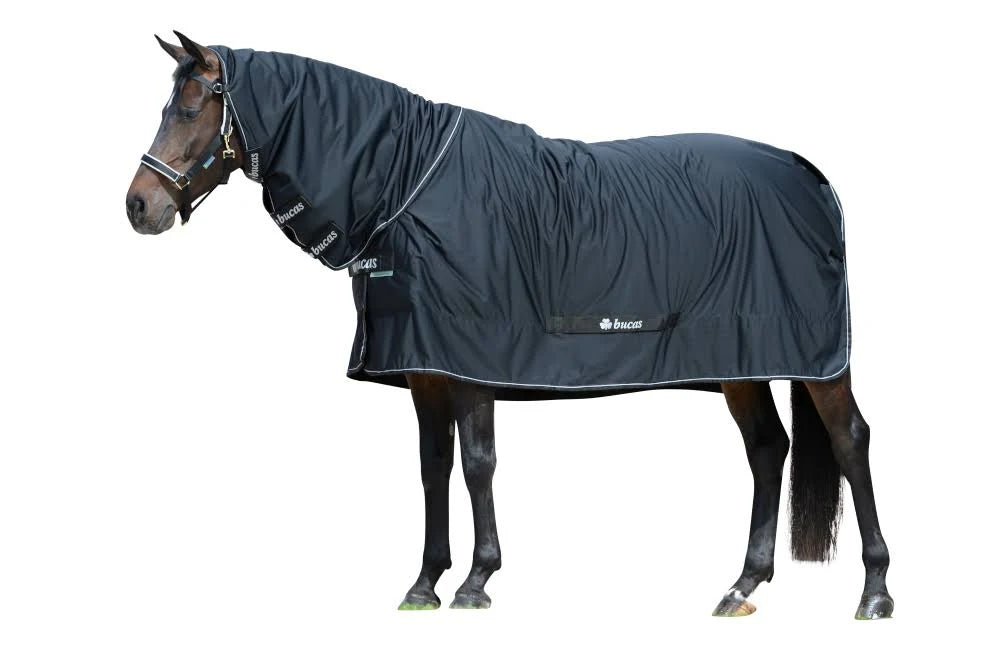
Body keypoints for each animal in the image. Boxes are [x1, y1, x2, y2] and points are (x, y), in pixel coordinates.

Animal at [125, 31, 892, 619]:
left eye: (192, 109)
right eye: (169, 106)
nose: (138, 206)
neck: (405, 183)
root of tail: (808, 174)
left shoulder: (472, 362)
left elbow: (477, 464)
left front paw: (475, 581)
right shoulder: (424, 368)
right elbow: (432, 467)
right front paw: (423, 584)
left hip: (814, 358)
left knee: (849, 440)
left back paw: (875, 593)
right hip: (740, 358)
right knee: (767, 449)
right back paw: (741, 587)